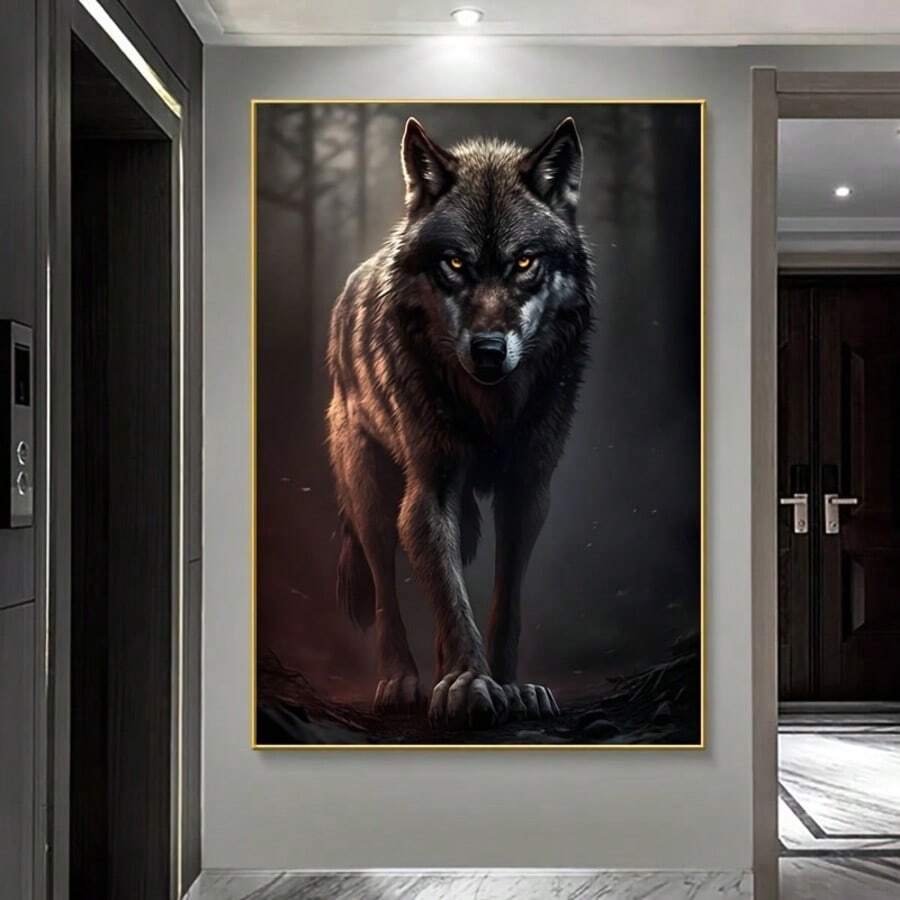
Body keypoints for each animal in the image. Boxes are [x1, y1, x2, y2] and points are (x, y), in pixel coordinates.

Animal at [326, 115, 593, 730]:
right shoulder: (430, 489)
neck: (491, 411)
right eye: (454, 263)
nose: (489, 350)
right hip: (370, 491)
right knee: (386, 588)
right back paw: (402, 681)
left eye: (525, 263)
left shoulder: (528, 489)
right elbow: (450, 598)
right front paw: (471, 684)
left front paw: (508, 686)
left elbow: (503, 601)